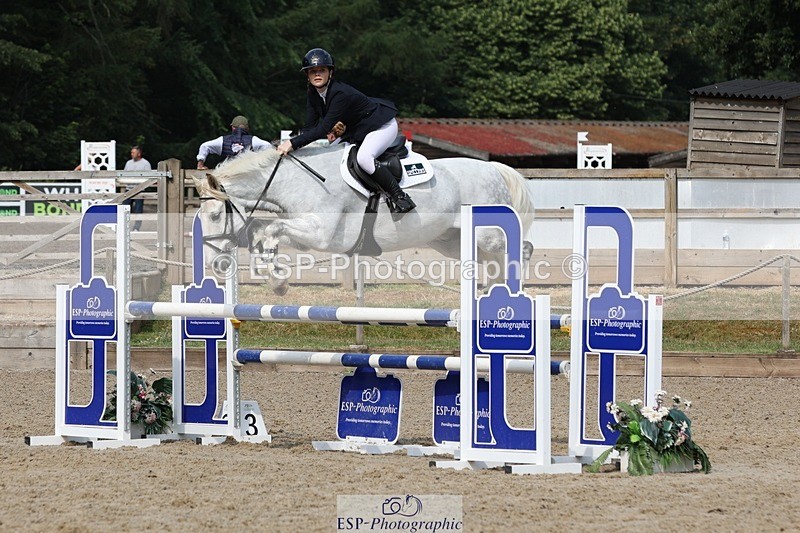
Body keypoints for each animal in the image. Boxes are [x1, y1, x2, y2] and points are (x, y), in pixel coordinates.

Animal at [193, 144, 534, 295]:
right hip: (452, 241)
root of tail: (493, 169)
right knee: (492, 264)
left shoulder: (323, 235)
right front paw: (277, 277)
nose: (214, 264)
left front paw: (277, 278)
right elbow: (264, 232)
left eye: (215, 215)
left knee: (519, 248)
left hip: (487, 233)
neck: (296, 181)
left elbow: (272, 228)